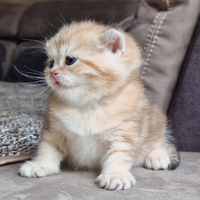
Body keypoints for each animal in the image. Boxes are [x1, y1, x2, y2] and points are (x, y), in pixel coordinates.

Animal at [19, 20, 180, 191]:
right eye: (51, 63)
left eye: (70, 60)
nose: (53, 73)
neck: (87, 105)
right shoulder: (53, 129)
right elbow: (47, 148)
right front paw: (41, 165)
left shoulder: (123, 133)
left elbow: (118, 156)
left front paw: (115, 175)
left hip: (157, 119)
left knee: (160, 139)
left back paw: (158, 156)